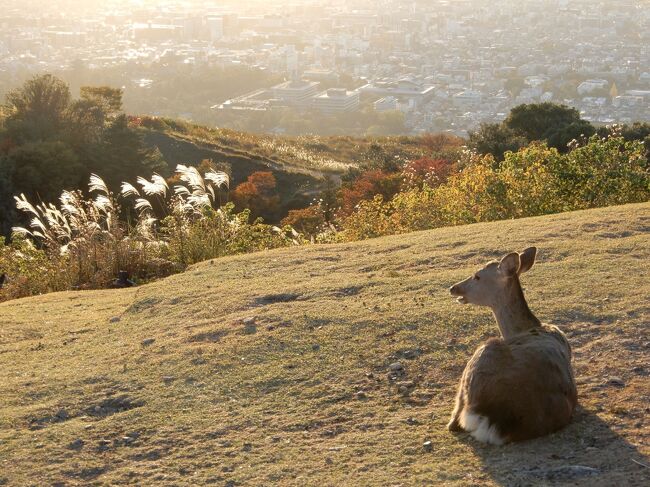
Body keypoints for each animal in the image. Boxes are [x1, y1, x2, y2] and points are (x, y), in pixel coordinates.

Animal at [446, 250, 576, 444]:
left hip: (482, 352)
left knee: (454, 421)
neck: (523, 328)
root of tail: (498, 421)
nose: (453, 288)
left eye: (477, 276)